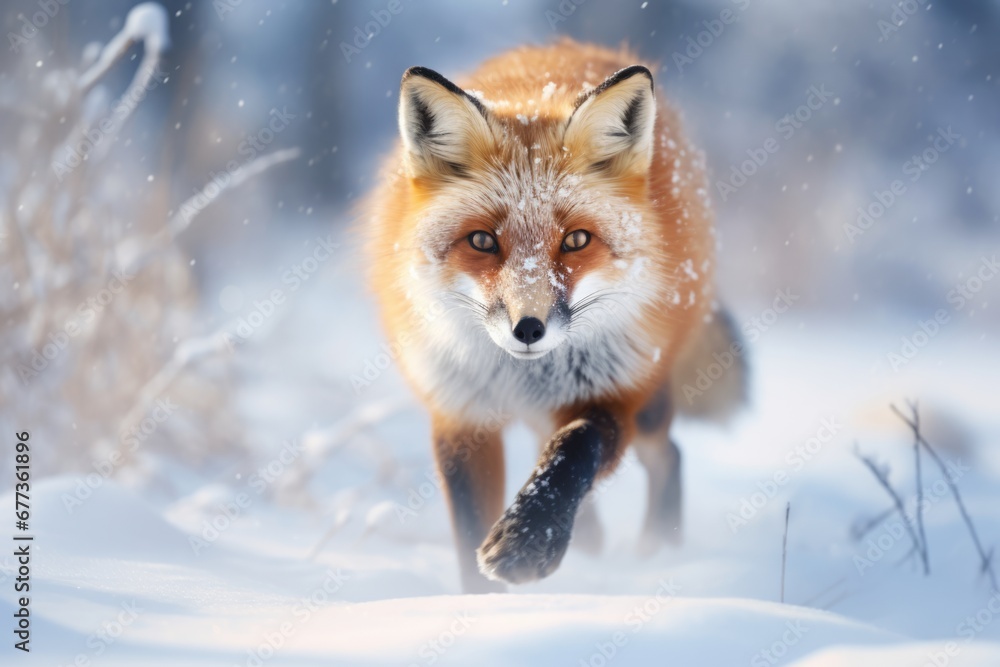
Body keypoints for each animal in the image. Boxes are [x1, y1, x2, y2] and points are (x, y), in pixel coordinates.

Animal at [365, 40, 746, 593]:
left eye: (576, 240)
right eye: (482, 241)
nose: (529, 328)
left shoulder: (612, 395)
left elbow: (575, 449)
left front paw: (527, 542)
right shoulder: (460, 414)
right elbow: (470, 532)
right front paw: (479, 602)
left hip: (648, 399)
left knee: (668, 453)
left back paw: (658, 549)